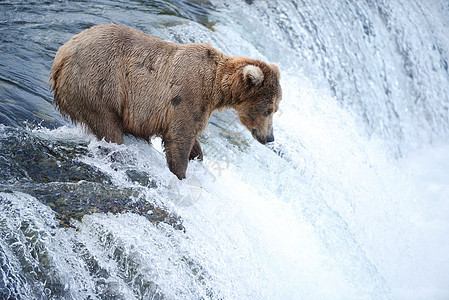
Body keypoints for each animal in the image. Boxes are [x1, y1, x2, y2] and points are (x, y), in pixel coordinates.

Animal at [50, 24, 280, 179]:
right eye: (269, 110)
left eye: (275, 109)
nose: (270, 138)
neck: (215, 86)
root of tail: (62, 54)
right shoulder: (187, 96)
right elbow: (180, 138)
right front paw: (180, 173)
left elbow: (193, 141)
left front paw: (197, 159)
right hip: (99, 83)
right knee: (108, 126)